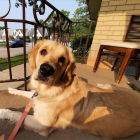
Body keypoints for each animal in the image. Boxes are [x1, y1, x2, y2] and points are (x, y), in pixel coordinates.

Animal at [0, 39, 140, 139]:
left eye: (62, 59)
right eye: (43, 51)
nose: (46, 70)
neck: (54, 88)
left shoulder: (43, 124)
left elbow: (17, 114)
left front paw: (2, 112)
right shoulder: (38, 96)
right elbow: (28, 93)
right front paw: (12, 89)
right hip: (115, 88)